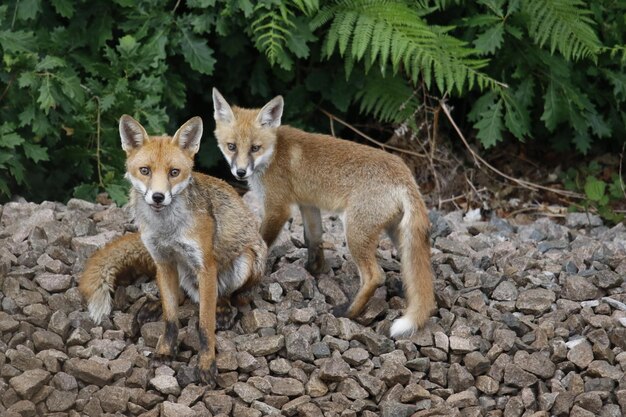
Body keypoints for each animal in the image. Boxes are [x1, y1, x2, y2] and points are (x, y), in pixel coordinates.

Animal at [83, 114, 268, 384]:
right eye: (145, 171)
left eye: (174, 172)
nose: (158, 197)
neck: (167, 230)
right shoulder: (163, 261)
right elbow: (170, 319)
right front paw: (164, 352)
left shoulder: (206, 266)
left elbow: (204, 325)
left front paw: (206, 364)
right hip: (178, 271)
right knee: (181, 296)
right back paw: (154, 306)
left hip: (245, 262)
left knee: (227, 294)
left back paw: (223, 307)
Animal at [210, 88, 434, 338]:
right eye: (231, 146)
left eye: (254, 148)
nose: (239, 172)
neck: (274, 153)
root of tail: (405, 174)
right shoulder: (308, 205)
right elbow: (313, 239)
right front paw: (313, 271)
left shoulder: (278, 207)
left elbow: (262, 243)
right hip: (398, 234)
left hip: (355, 232)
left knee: (375, 276)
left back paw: (349, 312)